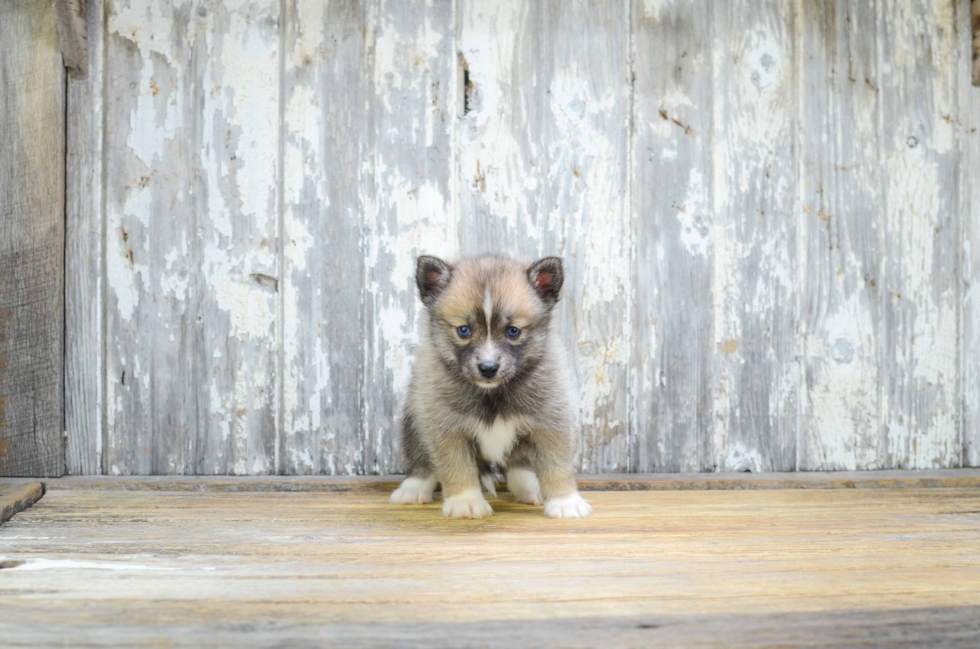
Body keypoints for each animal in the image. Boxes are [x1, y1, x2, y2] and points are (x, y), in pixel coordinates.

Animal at [388, 253, 588, 516]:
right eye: (463, 330)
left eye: (514, 331)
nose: (488, 368)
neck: (493, 393)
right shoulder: (447, 427)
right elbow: (456, 467)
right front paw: (465, 501)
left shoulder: (551, 421)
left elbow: (557, 465)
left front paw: (565, 502)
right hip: (414, 419)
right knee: (421, 462)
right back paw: (413, 489)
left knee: (519, 464)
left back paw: (529, 488)